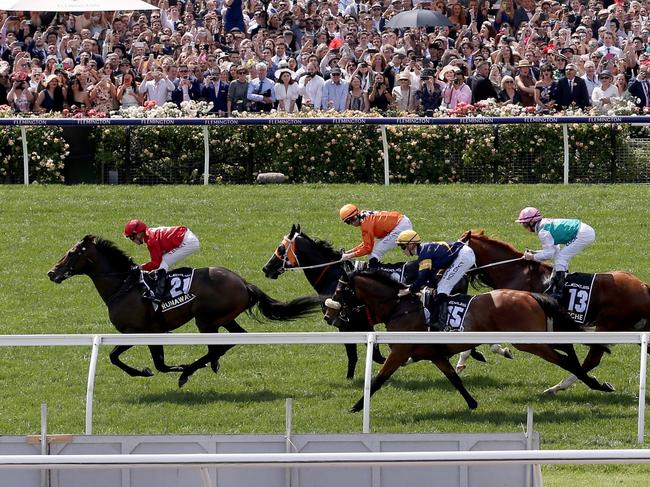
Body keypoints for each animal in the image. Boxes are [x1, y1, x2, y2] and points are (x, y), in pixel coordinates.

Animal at [47, 236, 322, 388]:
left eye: (72, 253)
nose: (52, 272)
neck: (123, 286)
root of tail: (244, 282)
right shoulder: (155, 332)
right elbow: (158, 364)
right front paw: (160, 369)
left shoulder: (136, 331)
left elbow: (116, 357)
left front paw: (156, 371)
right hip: (223, 319)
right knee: (232, 340)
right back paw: (206, 365)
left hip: (206, 320)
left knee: (217, 346)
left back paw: (192, 370)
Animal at [322, 272, 612, 414]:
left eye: (339, 288)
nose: (328, 315)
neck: (400, 307)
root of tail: (531, 295)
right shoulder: (435, 354)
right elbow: (454, 378)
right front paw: (472, 403)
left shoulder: (401, 351)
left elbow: (378, 380)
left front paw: (357, 406)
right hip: (537, 337)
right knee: (568, 350)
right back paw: (591, 381)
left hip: (529, 342)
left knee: (565, 359)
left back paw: (592, 384)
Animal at [458, 231, 648, 394]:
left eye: (454, 249)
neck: (514, 272)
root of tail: (644, 286)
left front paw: (465, 360)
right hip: (635, 327)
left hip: (607, 325)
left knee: (592, 359)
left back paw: (559, 387)